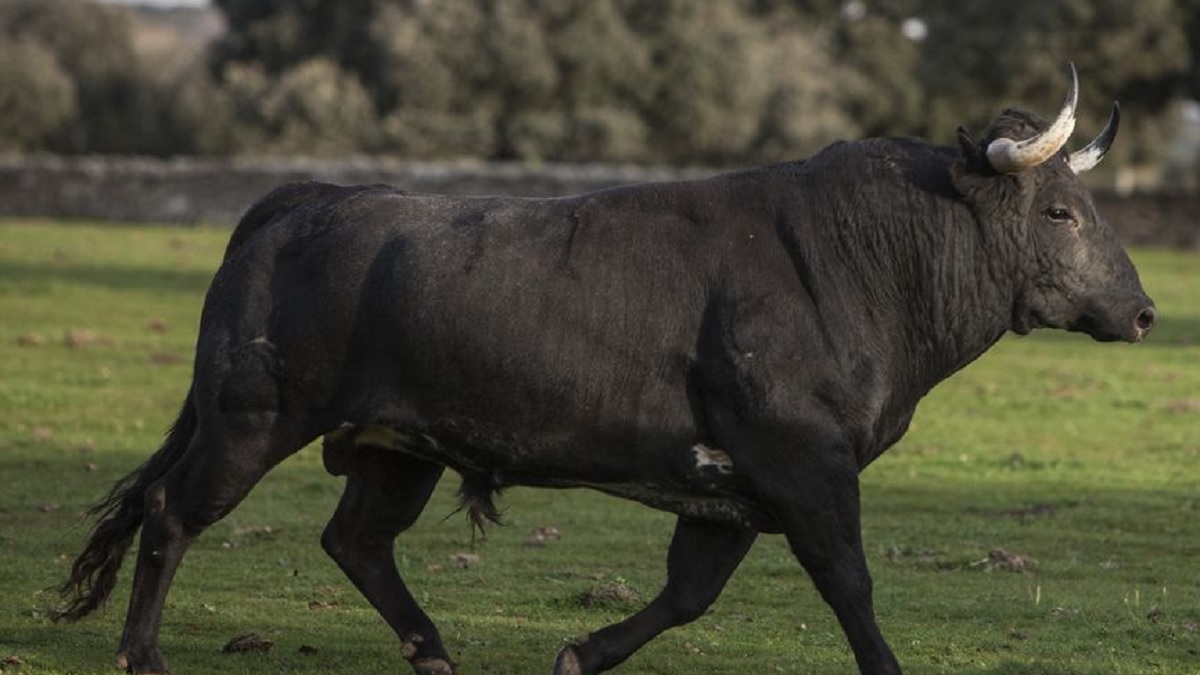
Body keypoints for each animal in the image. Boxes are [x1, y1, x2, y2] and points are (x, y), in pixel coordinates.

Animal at [60, 64, 1156, 672]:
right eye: (1061, 212)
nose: (1145, 311)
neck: (858, 261)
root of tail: (305, 200)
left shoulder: (729, 491)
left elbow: (688, 595)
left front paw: (580, 654)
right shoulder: (806, 467)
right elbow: (849, 582)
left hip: (394, 445)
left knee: (356, 541)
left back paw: (436, 653)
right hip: (249, 420)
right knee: (170, 514)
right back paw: (142, 655)